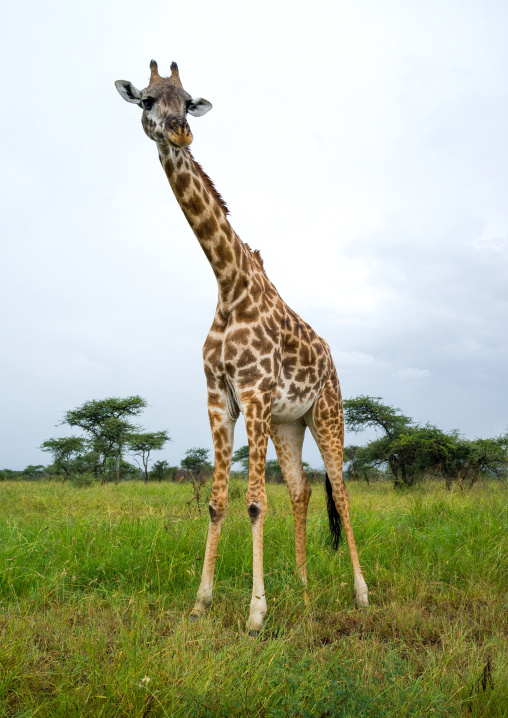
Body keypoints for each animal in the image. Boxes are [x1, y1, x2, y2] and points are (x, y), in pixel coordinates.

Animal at [115, 60, 368, 632]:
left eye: (187, 101)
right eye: (147, 100)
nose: (180, 132)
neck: (227, 283)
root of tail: (331, 358)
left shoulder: (252, 393)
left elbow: (254, 503)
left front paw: (256, 614)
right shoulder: (219, 398)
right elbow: (216, 503)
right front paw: (201, 602)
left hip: (327, 411)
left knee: (341, 493)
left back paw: (362, 593)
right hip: (288, 422)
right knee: (301, 489)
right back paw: (303, 587)